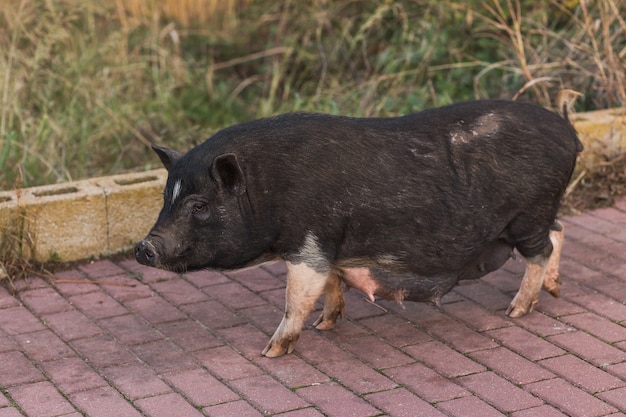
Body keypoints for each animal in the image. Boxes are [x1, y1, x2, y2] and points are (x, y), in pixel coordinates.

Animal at [135, 99, 580, 356]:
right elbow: (332, 284)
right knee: (558, 232)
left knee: (540, 251)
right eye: (165, 198)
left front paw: (271, 351)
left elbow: (298, 296)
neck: (266, 189)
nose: (144, 247)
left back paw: (517, 310)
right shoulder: (331, 245)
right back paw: (554, 291)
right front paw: (325, 325)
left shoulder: (309, 243)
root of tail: (568, 132)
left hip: (529, 212)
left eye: (200, 205)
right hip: (536, 215)